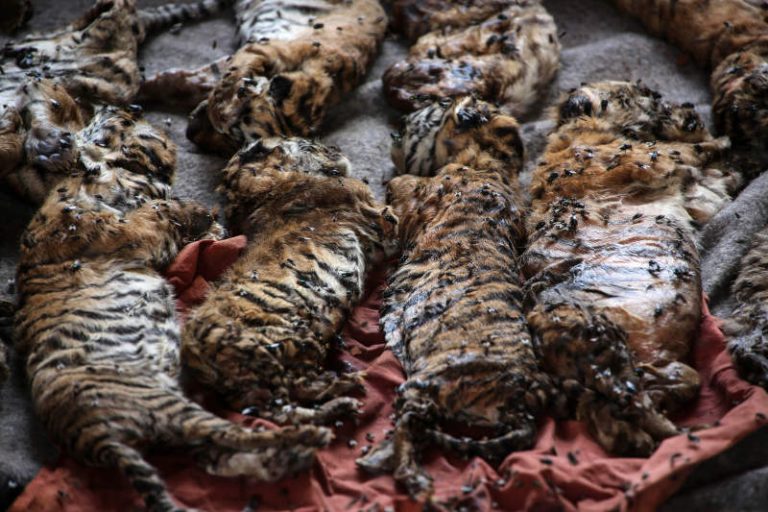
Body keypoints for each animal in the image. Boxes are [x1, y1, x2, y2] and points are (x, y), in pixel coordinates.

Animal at [14, 106, 332, 512]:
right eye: (112, 121)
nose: (129, 107)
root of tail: (95, 438)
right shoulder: (130, 228)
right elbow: (166, 210)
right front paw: (205, 215)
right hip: (165, 406)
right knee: (241, 436)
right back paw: (315, 433)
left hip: (171, 427)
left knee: (225, 453)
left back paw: (303, 447)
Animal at [141, 0, 387, 154]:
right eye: (234, 131)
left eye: (236, 140)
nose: (189, 133)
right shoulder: (265, 48)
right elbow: (225, 82)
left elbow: (207, 80)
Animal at [181, 137, 398, 424]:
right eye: (307, 143)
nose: (334, 146)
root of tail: (191, 350)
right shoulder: (377, 215)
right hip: (271, 348)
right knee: (283, 410)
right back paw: (344, 396)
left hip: (297, 348)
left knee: (289, 395)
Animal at [522, 81, 738, 455]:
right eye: (639, 97)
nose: (690, 111)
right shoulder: (643, 159)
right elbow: (683, 150)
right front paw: (718, 143)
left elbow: (712, 182)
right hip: (597, 338)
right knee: (631, 400)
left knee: (614, 416)